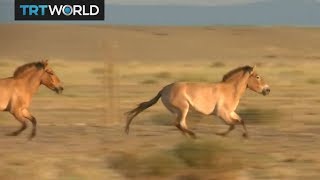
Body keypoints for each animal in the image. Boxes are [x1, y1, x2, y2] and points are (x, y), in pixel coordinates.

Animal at [125, 65, 270, 139]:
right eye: (258, 77)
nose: (268, 90)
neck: (230, 89)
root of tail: (164, 89)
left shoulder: (230, 112)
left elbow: (241, 121)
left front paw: (245, 135)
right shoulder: (222, 114)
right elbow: (233, 124)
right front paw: (221, 134)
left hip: (180, 111)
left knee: (180, 124)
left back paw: (189, 136)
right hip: (183, 109)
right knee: (178, 123)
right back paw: (193, 135)